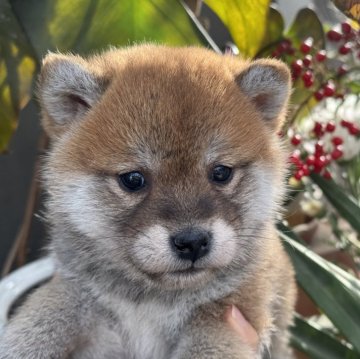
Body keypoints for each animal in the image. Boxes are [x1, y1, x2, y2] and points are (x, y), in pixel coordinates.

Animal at [0, 45, 296, 359]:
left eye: (221, 172)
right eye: (133, 179)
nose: (192, 242)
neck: (151, 302)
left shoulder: (227, 311)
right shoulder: (79, 295)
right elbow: (43, 319)